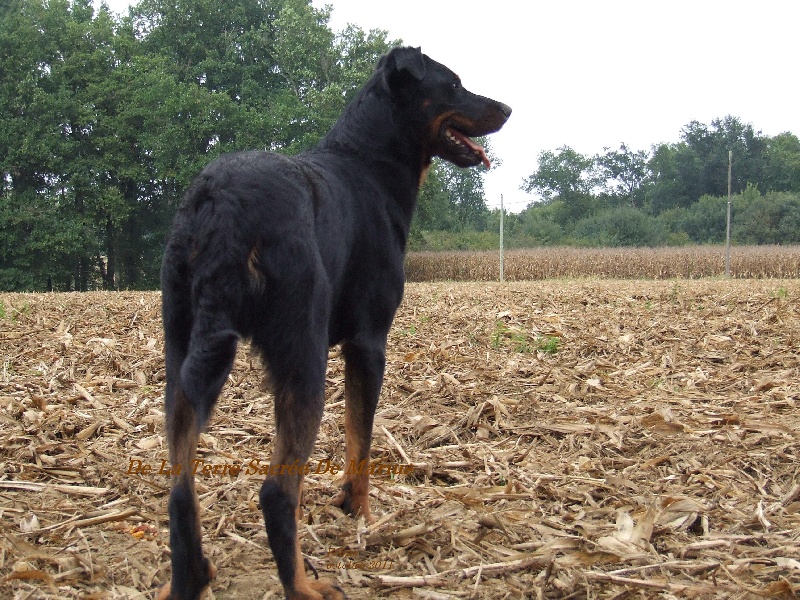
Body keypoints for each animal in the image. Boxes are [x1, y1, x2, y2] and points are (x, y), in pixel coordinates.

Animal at [159, 48, 510, 600]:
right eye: (453, 84)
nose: (507, 109)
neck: (368, 161)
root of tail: (221, 206)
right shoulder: (368, 343)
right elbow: (360, 441)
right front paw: (359, 512)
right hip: (303, 359)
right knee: (276, 492)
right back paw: (303, 586)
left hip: (181, 352)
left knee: (179, 486)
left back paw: (192, 577)